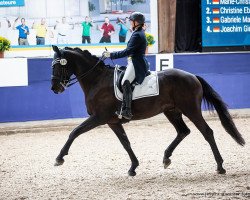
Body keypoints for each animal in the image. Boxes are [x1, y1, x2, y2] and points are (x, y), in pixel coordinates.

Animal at [50, 45, 244, 175]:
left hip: (191, 110)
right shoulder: (113, 122)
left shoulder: (99, 117)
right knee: (183, 131)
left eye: (58, 66)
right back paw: (166, 158)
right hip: (172, 111)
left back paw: (220, 166)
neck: (97, 80)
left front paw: (59, 158)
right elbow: (125, 143)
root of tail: (192, 76)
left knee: (207, 132)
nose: (54, 88)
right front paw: (133, 167)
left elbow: (74, 132)